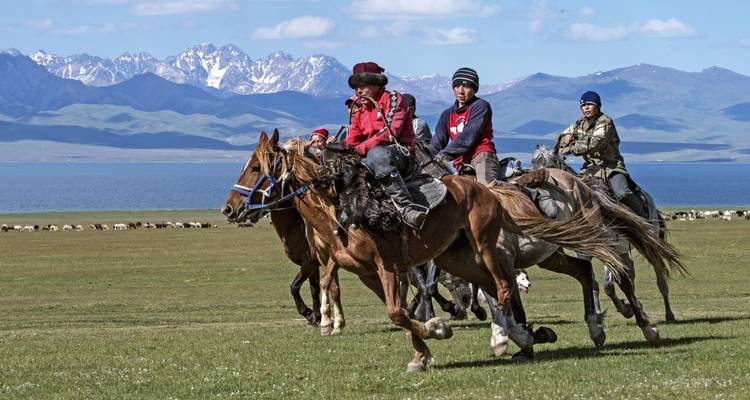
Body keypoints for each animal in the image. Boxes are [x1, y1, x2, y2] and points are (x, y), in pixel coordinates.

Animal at [224, 130, 628, 371]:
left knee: (504, 286)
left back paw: (507, 336)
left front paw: (437, 330)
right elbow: (395, 310)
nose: (230, 208)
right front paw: (422, 352)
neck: (339, 210)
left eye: (256, 167)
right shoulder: (360, 269)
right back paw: (526, 334)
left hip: (488, 247)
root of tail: (488, 192)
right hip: (464, 257)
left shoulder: (386, 266)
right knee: (524, 283)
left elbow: (397, 310)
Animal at [531, 144, 686, 324]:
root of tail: (647, 198)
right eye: (533, 164)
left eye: (551, 164)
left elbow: (609, 285)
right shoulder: (584, 252)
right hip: (624, 250)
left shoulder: (609, 248)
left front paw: (625, 309)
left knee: (659, 277)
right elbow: (594, 283)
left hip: (646, 245)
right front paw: (599, 312)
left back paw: (669, 315)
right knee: (630, 272)